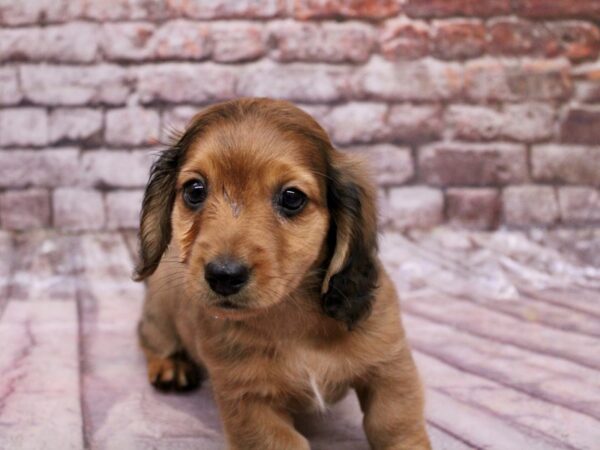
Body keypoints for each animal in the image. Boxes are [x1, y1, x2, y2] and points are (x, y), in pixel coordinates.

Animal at [135, 98, 432, 450]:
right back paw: (171, 365)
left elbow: (394, 424)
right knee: (150, 339)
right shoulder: (249, 400)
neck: (294, 317)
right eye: (195, 190)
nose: (223, 276)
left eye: (292, 198)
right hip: (159, 315)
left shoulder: (390, 366)